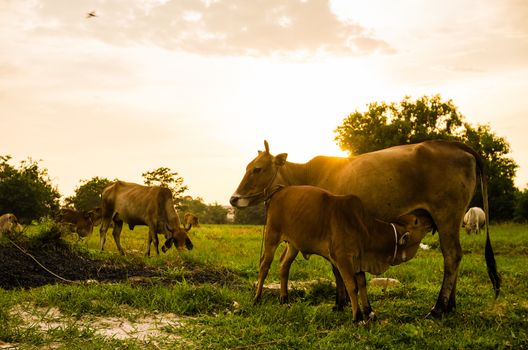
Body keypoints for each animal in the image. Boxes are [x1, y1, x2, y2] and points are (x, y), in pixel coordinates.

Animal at [255, 187, 434, 322]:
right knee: (264, 265)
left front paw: (369, 312)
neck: (364, 229)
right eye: (416, 221)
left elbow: (362, 284)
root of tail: (278, 190)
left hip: (293, 244)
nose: (430, 218)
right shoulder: (343, 258)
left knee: (284, 265)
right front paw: (357, 317)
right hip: (272, 236)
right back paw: (257, 298)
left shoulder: (359, 260)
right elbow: (352, 286)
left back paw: (284, 299)